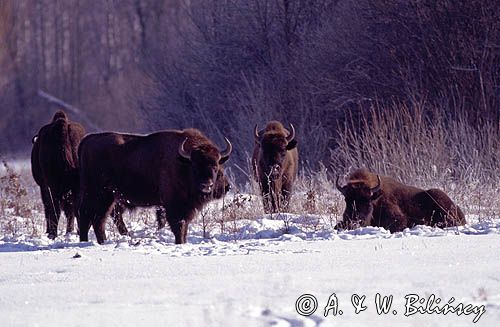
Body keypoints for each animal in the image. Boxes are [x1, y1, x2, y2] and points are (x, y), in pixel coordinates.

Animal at [30, 111, 85, 240]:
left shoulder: (45, 186)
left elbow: (49, 208)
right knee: (75, 209)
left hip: (53, 186)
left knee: (55, 209)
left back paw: (53, 234)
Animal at [78, 129, 232, 245]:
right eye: (195, 166)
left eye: (216, 166)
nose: (207, 185)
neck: (183, 163)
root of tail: (87, 140)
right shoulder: (174, 206)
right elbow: (178, 226)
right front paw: (179, 243)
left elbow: (184, 226)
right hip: (98, 194)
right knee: (89, 217)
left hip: (107, 198)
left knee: (97, 219)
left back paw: (100, 242)